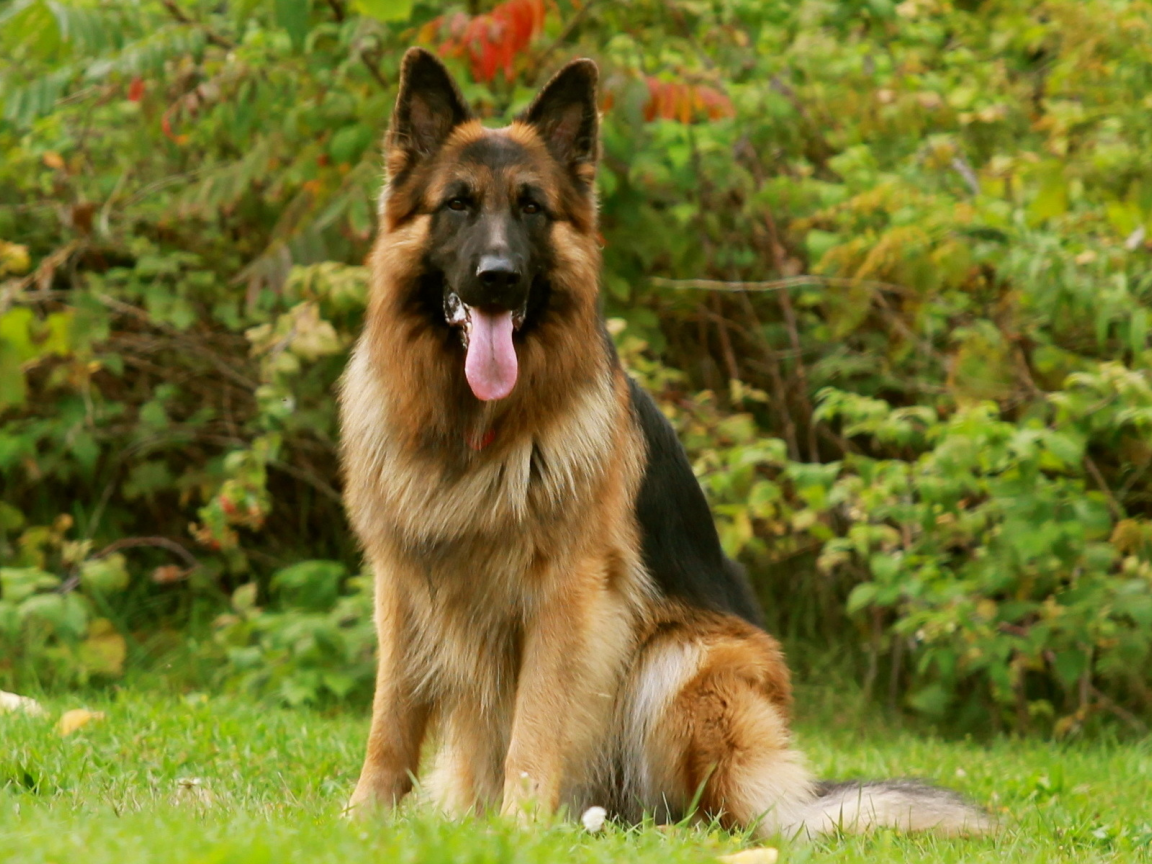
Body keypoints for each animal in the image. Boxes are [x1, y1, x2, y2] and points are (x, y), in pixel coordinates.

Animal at [338, 47, 990, 838]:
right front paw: (363, 816)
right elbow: (389, 719)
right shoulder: (403, 587)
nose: (499, 280)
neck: (473, 430)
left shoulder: (567, 596)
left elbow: (535, 722)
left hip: (682, 660)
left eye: (532, 207)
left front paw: (520, 827)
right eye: (457, 204)